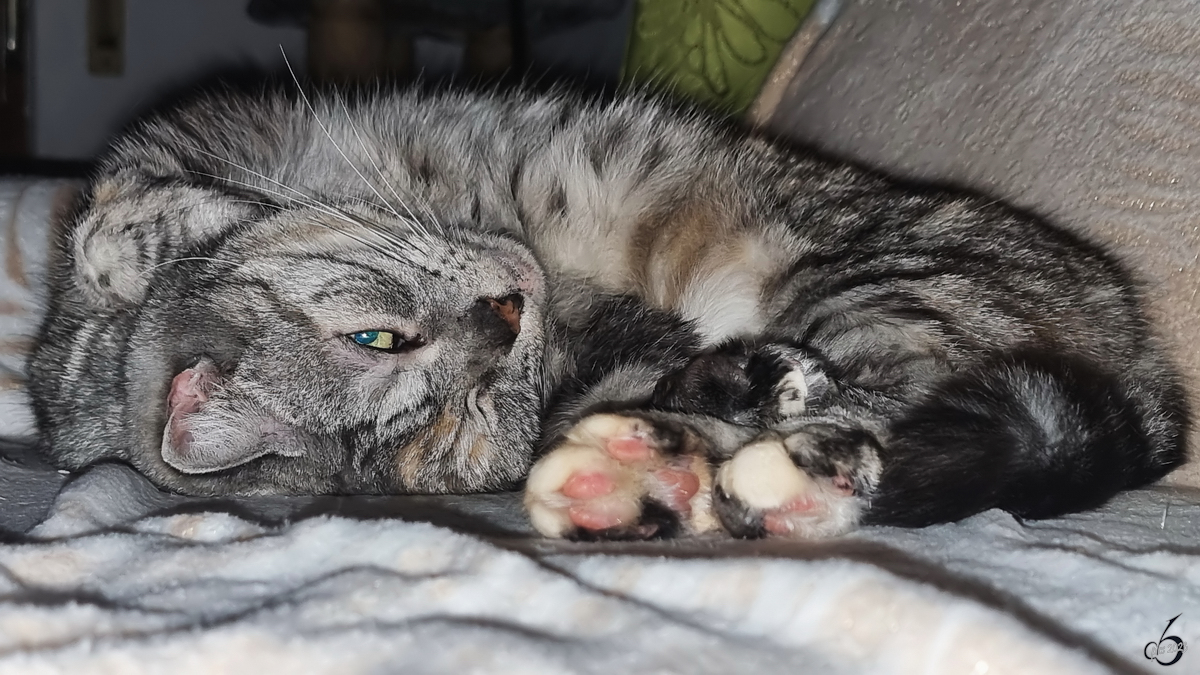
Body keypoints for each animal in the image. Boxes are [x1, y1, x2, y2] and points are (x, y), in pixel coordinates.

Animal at [25, 84, 1180, 538]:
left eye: (376, 336)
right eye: (470, 417)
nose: (508, 310)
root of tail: (1152, 393)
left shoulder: (175, 148)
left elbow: (116, 225)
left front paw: (174, 239)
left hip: (879, 274)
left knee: (872, 422)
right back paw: (654, 476)